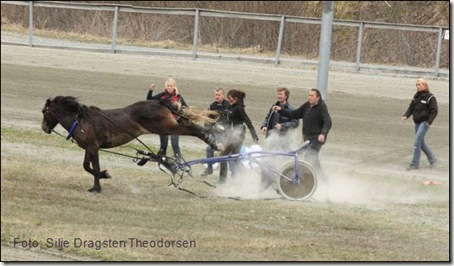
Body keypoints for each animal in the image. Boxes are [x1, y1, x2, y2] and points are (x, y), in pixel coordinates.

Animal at [41, 96, 223, 192]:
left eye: (44, 111)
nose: (44, 128)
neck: (80, 121)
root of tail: (158, 101)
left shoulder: (93, 147)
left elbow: (95, 167)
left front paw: (97, 186)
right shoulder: (89, 148)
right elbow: (86, 166)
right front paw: (103, 176)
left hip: (166, 127)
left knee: (192, 128)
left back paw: (215, 141)